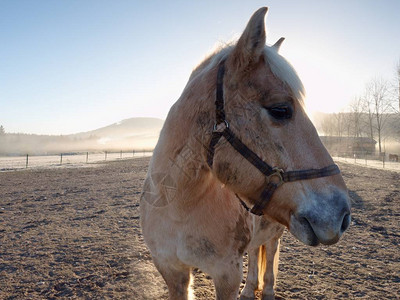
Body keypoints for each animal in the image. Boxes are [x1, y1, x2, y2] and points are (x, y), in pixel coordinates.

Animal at [141, 7, 350, 300]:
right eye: (280, 110)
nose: (341, 215)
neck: (177, 208)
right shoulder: (171, 271)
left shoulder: (226, 274)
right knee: (254, 251)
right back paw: (250, 290)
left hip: (275, 230)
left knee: (269, 252)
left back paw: (268, 291)